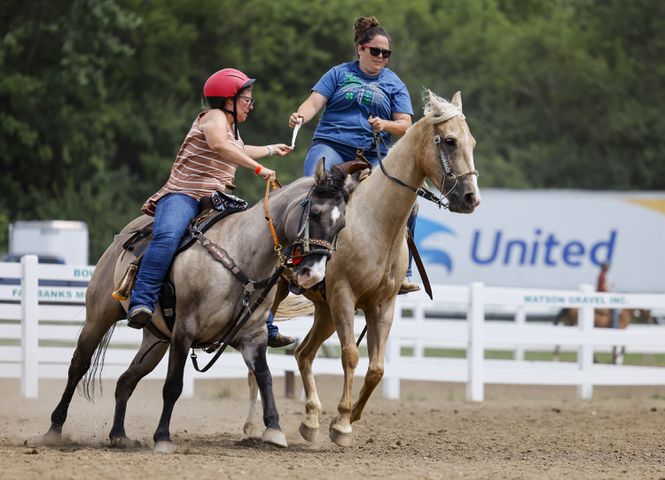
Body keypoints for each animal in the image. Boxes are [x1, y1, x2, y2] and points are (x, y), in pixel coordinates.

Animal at [45, 160, 364, 454]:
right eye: (315, 213)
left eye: (342, 225)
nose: (313, 274)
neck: (242, 254)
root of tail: (122, 236)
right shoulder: (185, 330)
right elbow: (173, 385)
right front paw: (163, 438)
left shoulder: (253, 336)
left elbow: (265, 378)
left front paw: (274, 430)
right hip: (99, 316)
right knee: (78, 365)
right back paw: (54, 429)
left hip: (155, 341)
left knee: (125, 380)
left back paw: (119, 435)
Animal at [252, 92, 480, 448]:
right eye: (450, 141)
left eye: (472, 141)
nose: (471, 198)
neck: (374, 223)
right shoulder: (344, 296)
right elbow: (350, 356)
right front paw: (342, 424)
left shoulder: (381, 305)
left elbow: (376, 369)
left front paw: (347, 418)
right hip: (282, 295)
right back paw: (254, 425)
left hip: (325, 312)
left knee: (303, 354)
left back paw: (311, 420)